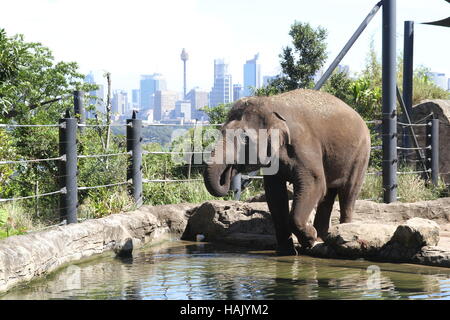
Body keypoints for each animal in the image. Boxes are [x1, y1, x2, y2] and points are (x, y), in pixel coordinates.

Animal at [202, 88, 370, 255]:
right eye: (221, 131)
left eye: (244, 138)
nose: (228, 173)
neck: (270, 104)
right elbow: (275, 194)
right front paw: (287, 252)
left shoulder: (303, 144)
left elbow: (315, 183)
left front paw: (309, 240)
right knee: (328, 194)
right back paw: (321, 238)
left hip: (361, 154)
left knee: (348, 192)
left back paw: (340, 232)